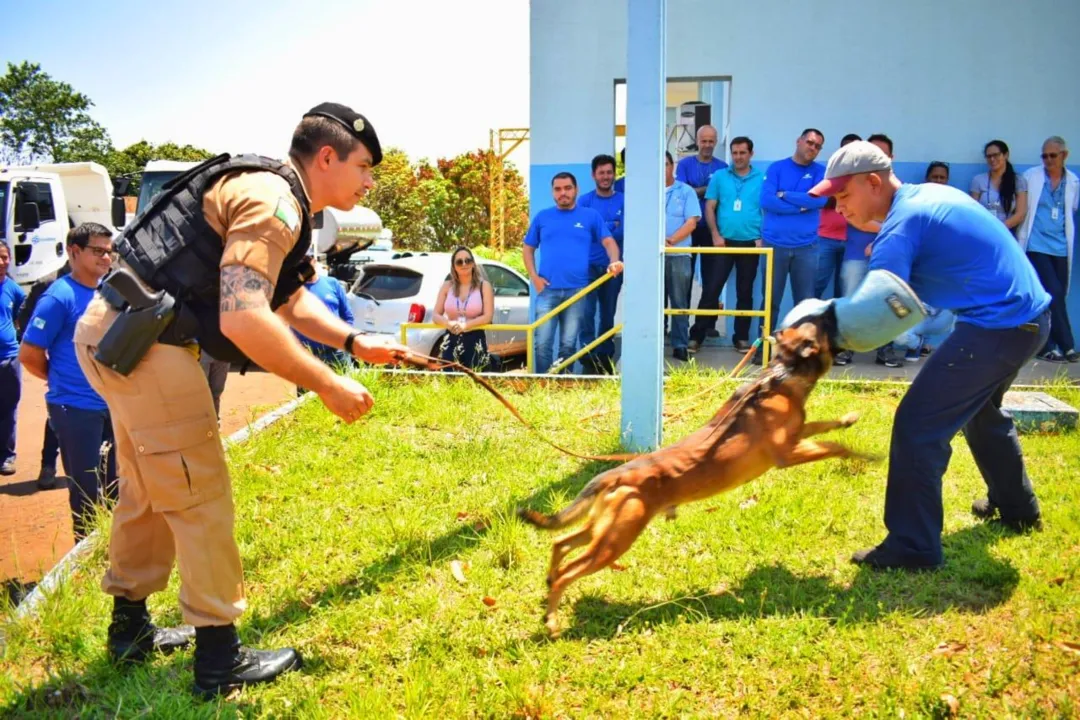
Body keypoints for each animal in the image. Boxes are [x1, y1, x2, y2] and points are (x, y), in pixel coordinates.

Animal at [518, 315, 872, 634]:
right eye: (823, 323)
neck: (782, 376)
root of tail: (617, 475)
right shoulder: (787, 453)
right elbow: (834, 446)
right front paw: (868, 455)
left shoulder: (798, 433)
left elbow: (824, 425)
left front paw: (849, 418)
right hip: (616, 539)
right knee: (569, 570)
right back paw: (552, 621)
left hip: (604, 529)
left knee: (560, 542)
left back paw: (549, 584)